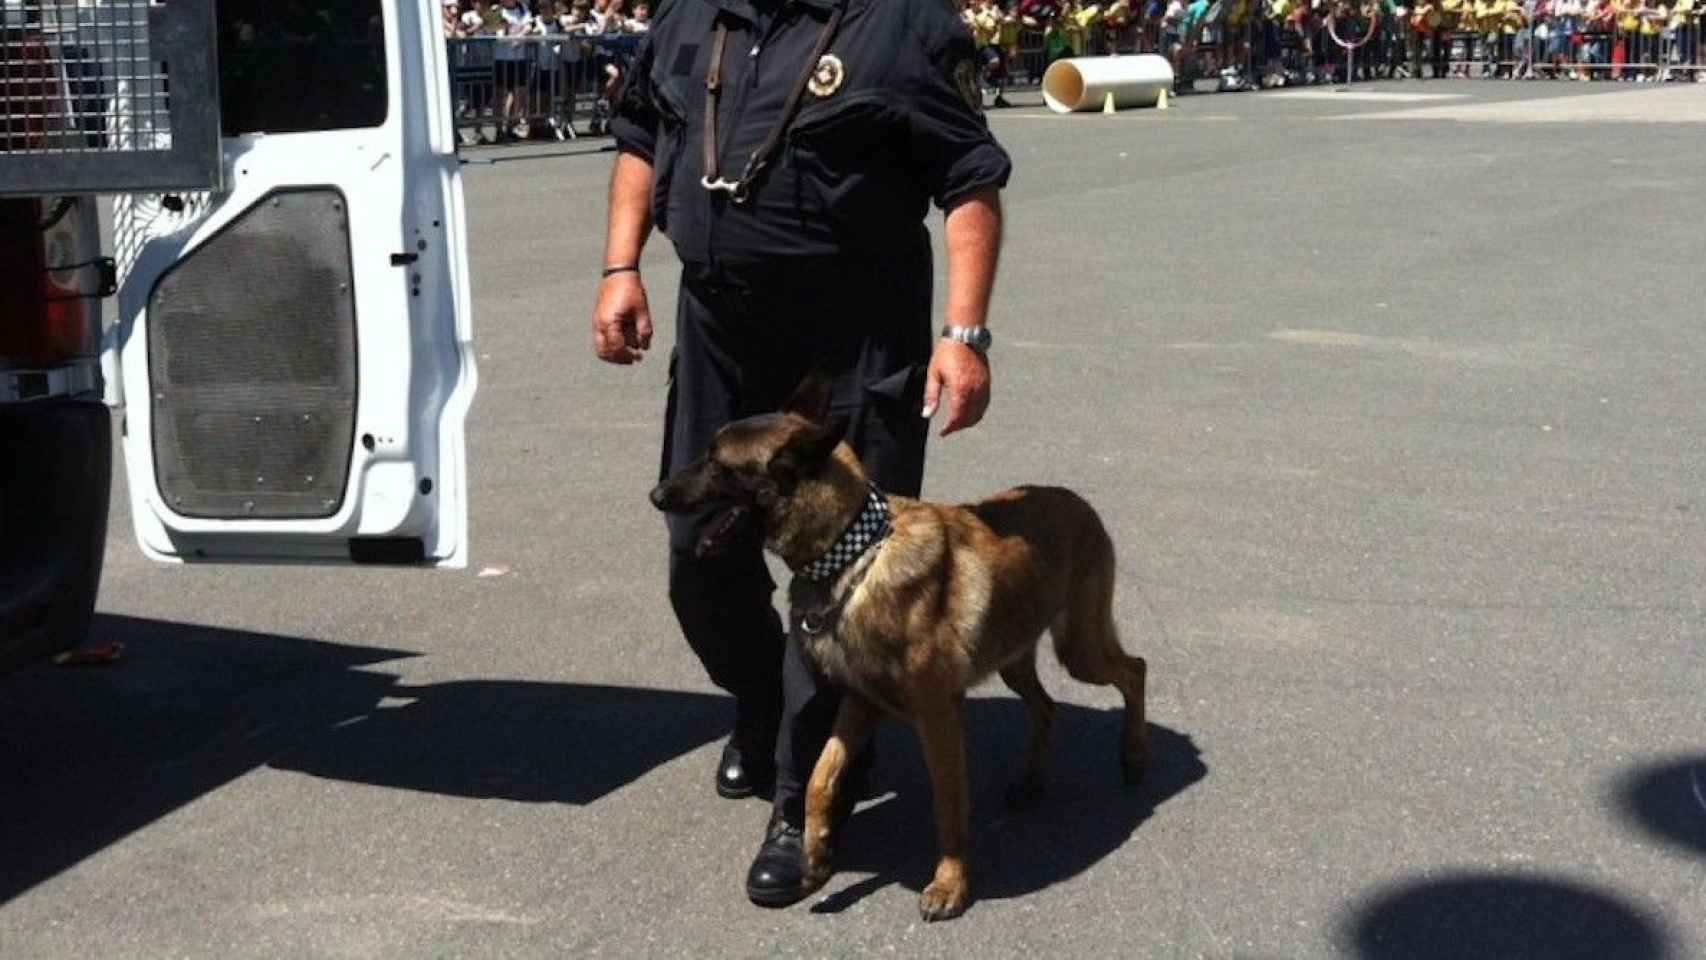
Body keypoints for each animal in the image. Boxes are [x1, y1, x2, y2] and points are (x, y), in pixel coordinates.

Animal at [648, 376, 1146, 920]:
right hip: (1013, 657)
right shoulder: (859, 702)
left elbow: (948, 806)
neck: (854, 554)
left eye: (719, 465)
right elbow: (820, 776)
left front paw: (950, 883)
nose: (656, 494)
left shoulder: (939, 718)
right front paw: (814, 856)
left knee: (1135, 670)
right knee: (1048, 706)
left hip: (1080, 649)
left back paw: (1133, 757)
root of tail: (1077, 500)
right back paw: (1032, 780)